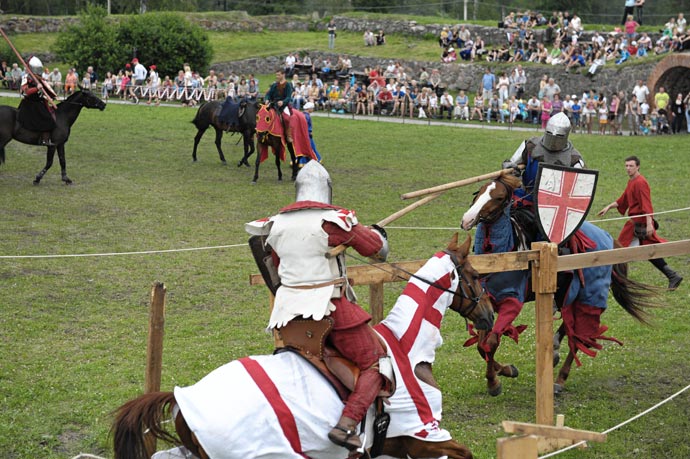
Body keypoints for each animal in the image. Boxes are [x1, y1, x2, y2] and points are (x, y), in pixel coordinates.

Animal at [460, 172, 652, 396]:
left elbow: (490, 342)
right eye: (480, 191)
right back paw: (554, 350)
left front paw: (495, 381)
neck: (503, 253)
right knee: (570, 328)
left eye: (499, 198)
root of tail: (608, 239)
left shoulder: (512, 302)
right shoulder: (486, 304)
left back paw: (560, 378)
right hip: (566, 294)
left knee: (579, 336)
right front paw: (504, 371)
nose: (467, 219)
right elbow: (483, 345)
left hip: (589, 296)